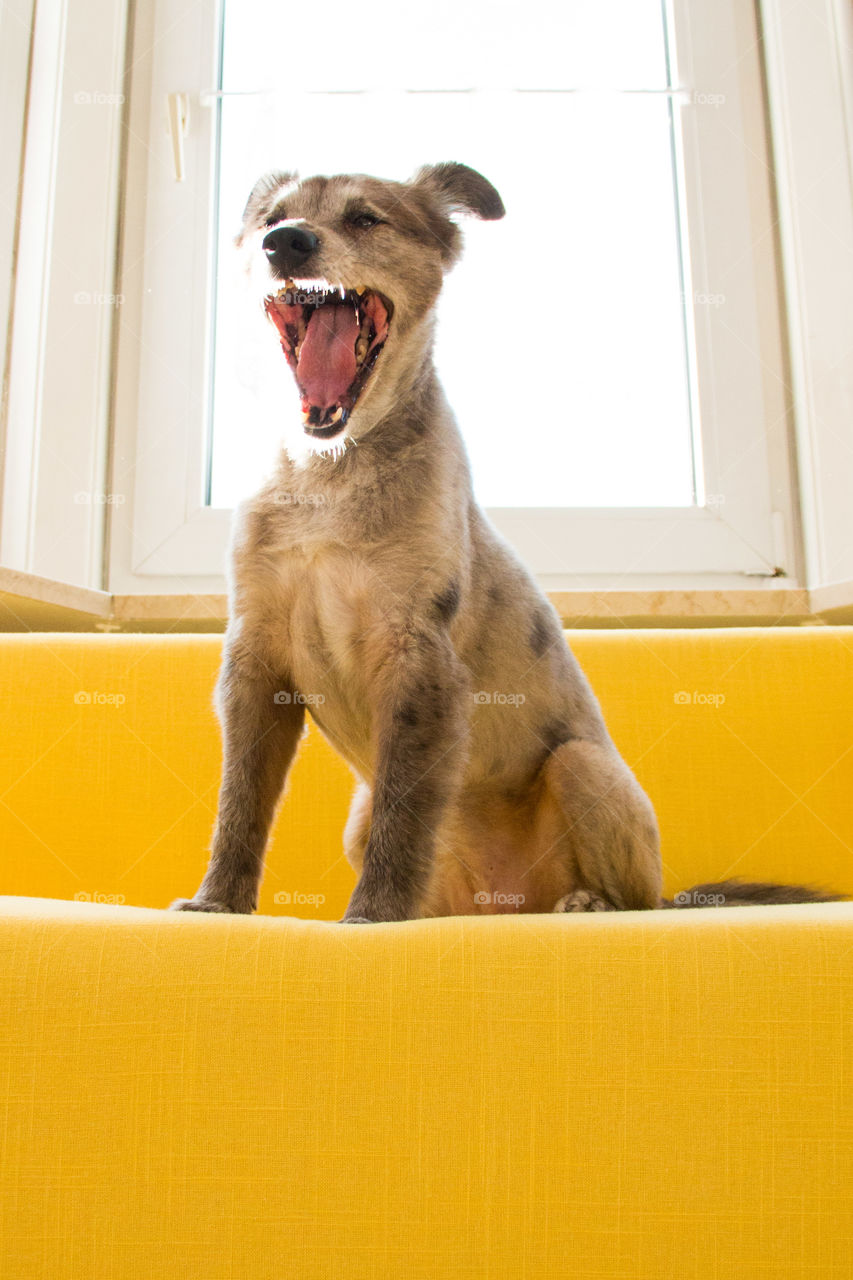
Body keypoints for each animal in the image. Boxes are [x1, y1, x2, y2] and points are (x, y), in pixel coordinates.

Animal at [169, 162, 835, 921]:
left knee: (633, 898)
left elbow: (405, 812)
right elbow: (241, 803)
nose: (286, 243)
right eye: (272, 217)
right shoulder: (256, 660)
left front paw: (373, 916)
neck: (328, 472)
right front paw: (217, 902)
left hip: (584, 767)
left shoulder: (418, 656)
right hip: (358, 820)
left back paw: (588, 904)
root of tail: (506, 906)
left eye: (365, 219)